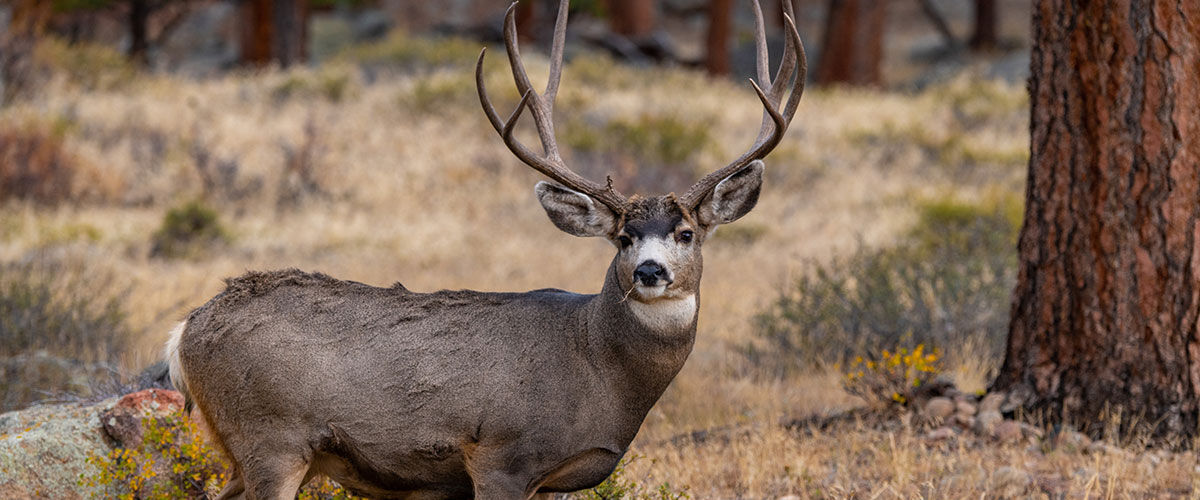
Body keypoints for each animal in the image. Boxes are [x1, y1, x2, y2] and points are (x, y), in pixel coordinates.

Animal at [164, 1, 804, 498]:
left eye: (686, 233)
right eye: (623, 236)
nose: (649, 270)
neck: (595, 363)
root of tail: (186, 330)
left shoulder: (548, 481)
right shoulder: (501, 456)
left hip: (248, 453)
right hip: (271, 439)